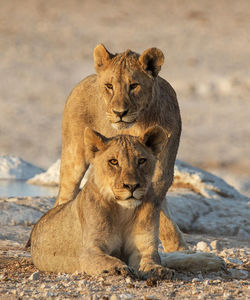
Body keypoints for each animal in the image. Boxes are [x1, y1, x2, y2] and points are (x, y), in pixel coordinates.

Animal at [31, 126, 225, 278]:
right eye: (113, 161)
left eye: (141, 160)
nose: (132, 186)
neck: (123, 212)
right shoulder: (89, 251)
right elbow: (107, 259)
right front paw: (118, 268)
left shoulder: (145, 247)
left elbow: (152, 259)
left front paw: (158, 270)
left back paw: (213, 260)